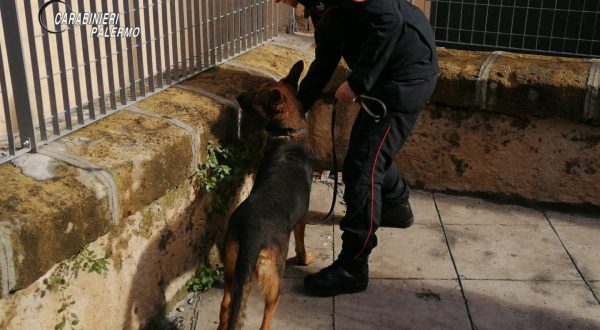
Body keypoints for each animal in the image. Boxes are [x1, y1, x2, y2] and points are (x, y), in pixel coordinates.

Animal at [219, 61, 314, 330]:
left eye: (255, 96)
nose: (238, 97)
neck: (288, 133)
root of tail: (251, 236)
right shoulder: (302, 221)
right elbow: (301, 244)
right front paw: (304, 259)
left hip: (232, 268)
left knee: (226, 305)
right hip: (274, 280)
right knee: (267, 315)